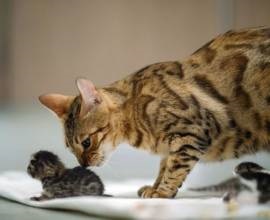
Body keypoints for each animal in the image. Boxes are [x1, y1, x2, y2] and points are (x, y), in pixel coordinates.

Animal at [39, 27, 270, 198]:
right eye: (70, 149)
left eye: (86, 143)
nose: (84, 164)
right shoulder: (174, 144)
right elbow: (165, 165)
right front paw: (154, 187)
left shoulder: (191, 134)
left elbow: (175, 167)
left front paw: (163, 192)